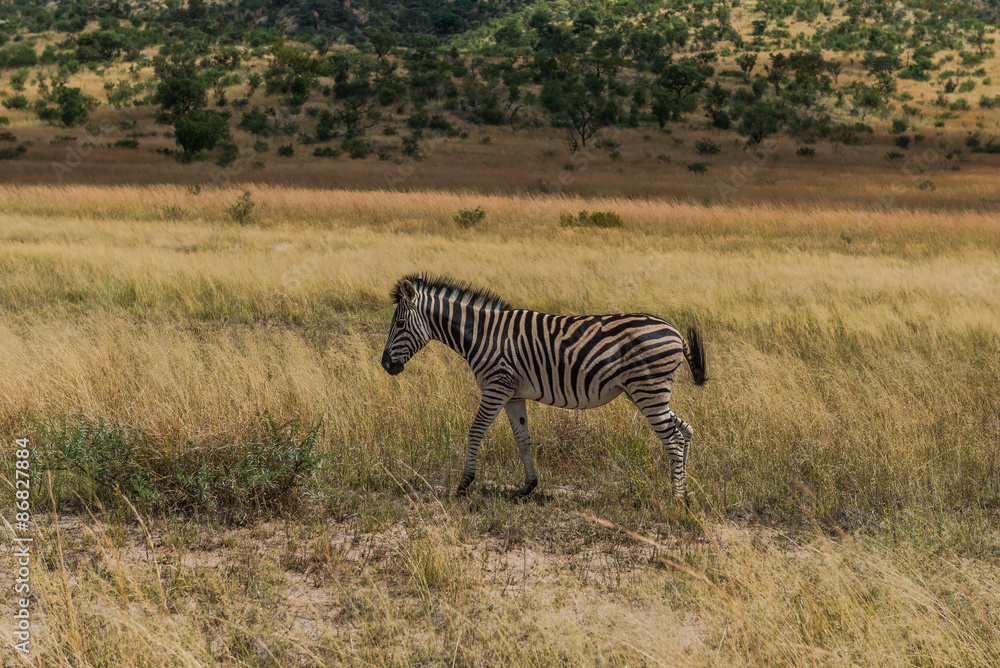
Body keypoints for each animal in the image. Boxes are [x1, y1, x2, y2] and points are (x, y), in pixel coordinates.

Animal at [380, 274, 707, 501]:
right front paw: (528, 487)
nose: (385, 365)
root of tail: (675, 331)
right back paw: (686, 490)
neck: (483, 335)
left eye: (400, 323)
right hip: (646, 392)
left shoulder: (495, 387)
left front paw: (463, 485)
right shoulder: (512, 394)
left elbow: (475, 431)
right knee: (685, 430)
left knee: (672, 439)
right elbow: (523, 439)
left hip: (648, 390)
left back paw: (676, 497)